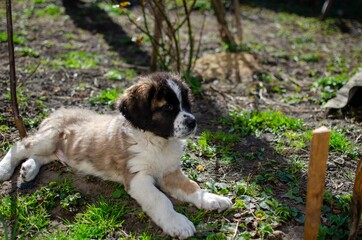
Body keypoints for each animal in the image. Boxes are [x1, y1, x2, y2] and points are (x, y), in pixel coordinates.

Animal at [0, 72, 232, 239]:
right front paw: (177, 223)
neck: (157, 142)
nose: (193, 122)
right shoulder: (138, 178)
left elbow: (191, 187)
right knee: (21, 145)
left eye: (186, 104)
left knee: (40, 155)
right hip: (49, 137)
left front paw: (212, 199)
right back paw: (5, 168)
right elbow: (161, 200)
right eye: (168, 107)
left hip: (57, 148)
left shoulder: (170, 172)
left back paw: (28, 169)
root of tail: (58, 111)